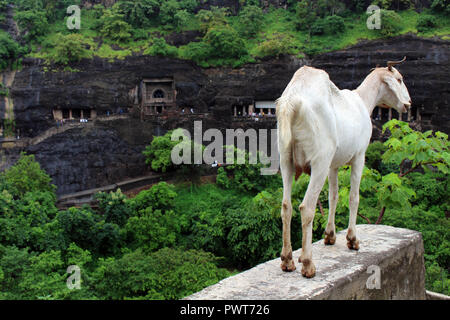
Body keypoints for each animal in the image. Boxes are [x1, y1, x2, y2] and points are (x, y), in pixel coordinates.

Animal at [276, 57, 410, 278]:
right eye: (399, 79)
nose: (408, 104)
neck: (363, 101)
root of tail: (292, 101)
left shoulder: (333, 165)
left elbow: (334, 196)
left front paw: (330, 235)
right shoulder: (359, 156)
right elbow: (353, 197)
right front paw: (352, 239)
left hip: (286, 159)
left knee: (286, 206)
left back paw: (287, 260)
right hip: (320, 160)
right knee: (307, 207)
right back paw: (308, 263)